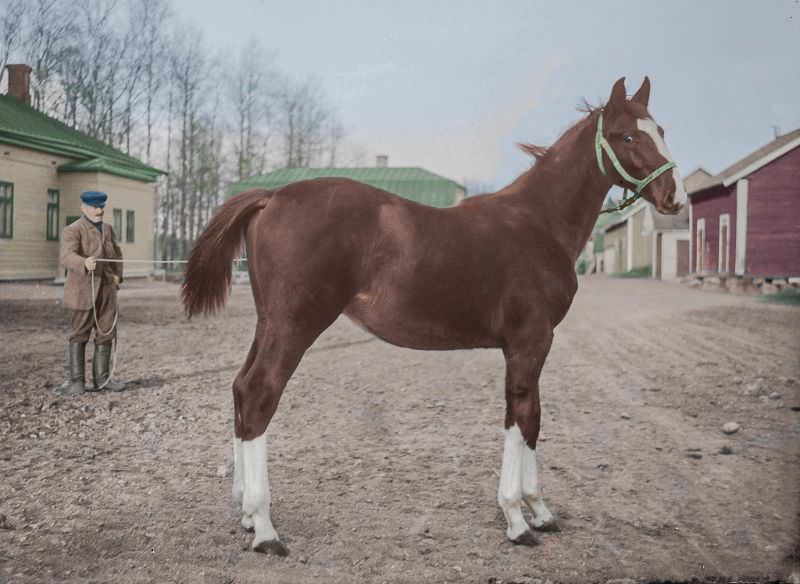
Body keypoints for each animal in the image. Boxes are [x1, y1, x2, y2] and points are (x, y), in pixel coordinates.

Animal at [183, 77, 688, 556]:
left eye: (661, 130)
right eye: (627, 136)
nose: (675, 198)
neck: (537, 223)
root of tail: (271, 197)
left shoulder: (529, 346)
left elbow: (532, 419)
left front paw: (540, 510)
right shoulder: (529, 342)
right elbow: (522, 418)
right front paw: (517, 519)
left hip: (268, 323)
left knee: (240, 389)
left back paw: (246, 515)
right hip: (295, 325)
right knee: (259, 395)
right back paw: (265, 529)